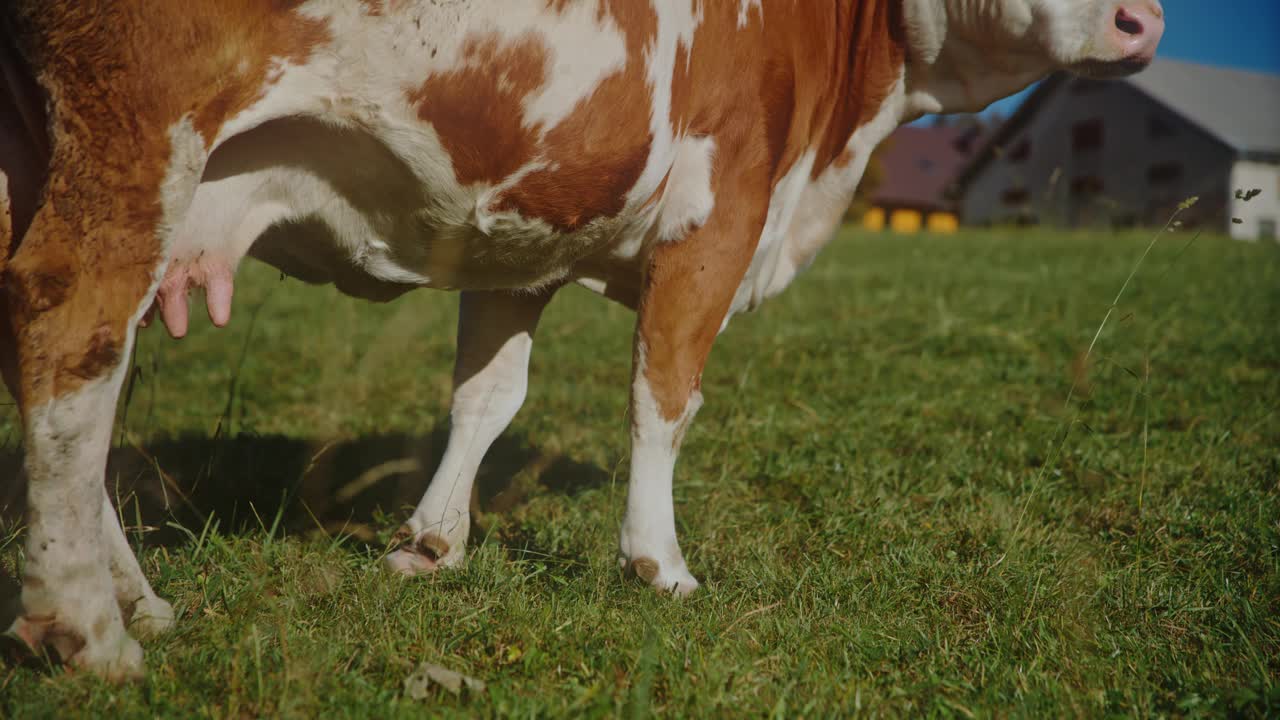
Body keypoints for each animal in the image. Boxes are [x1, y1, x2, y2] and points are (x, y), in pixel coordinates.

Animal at [0, 0, 1162, 676]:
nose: (1142, 20)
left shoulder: (525, 234)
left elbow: (487, 396)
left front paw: (430, 543)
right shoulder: (719, 204)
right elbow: (665, 391)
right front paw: (658, 562)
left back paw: (138, 602)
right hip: (138, 132)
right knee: (73, 333)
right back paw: (86, 629)